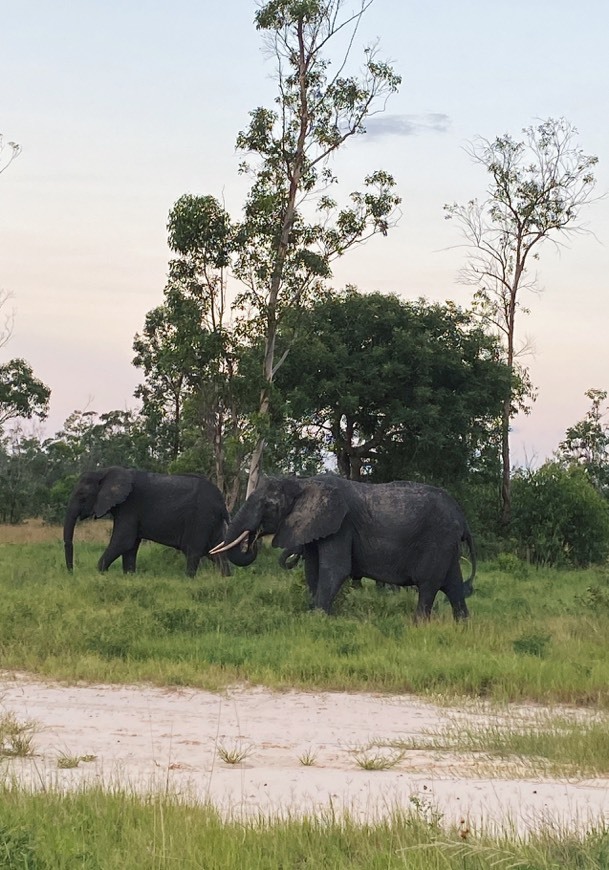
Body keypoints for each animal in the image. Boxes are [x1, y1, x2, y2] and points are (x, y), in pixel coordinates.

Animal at [64, 466, 256, 584]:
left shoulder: (129, 507)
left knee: (194, 552)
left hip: (202, 518)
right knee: (217, 553)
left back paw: (189, 581)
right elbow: (130, 546)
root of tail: (222, 502)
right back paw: (226, 579)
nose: (71, 573)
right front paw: (129, 578)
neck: (104, 472)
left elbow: (123, 541)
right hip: (213, 522)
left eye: (82, 496)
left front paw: (100, 573)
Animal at [213, 476, 476, 620]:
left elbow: (335, 570)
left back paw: (417, 624)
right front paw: (313, 613)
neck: (303, 482)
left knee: (429, 585)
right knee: (453, 585)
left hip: (438, 540)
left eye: (268, 505)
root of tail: (463, 519)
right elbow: (313, 571)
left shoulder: (341, 525)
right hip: (447, 545)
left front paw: (317, 617)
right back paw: (462, 626)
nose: (254, 538)